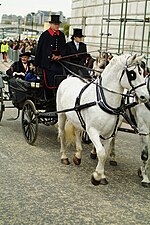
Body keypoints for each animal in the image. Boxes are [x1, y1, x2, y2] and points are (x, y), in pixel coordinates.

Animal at [56, 54, 149, 185]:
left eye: (142, 72)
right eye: (133, 74)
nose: (145, 96)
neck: (103, 100)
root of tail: (68, 78)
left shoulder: (109, 133)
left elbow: (104, 154)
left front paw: (102, 175)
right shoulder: (92, 131)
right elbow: (101, 152)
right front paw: (96, 176)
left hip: (77, 119)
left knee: (77, 132)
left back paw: (78, 155)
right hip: (62, 114)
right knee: (62, 133)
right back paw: (64, 156)